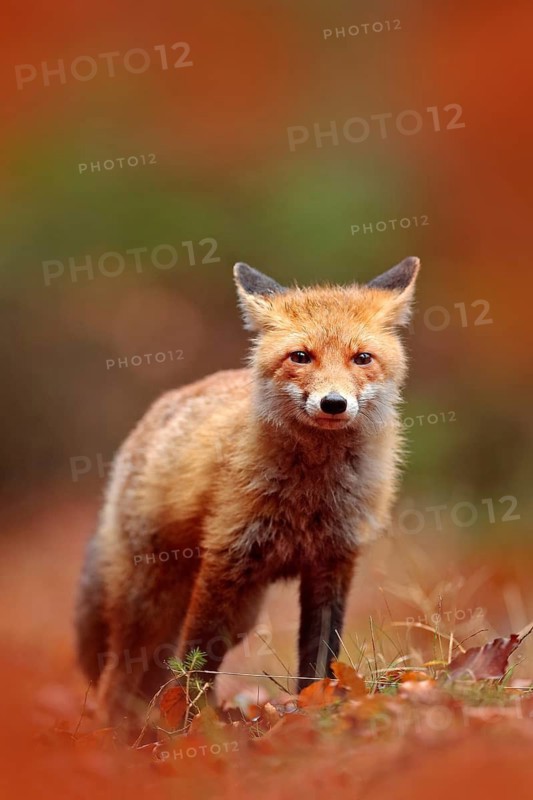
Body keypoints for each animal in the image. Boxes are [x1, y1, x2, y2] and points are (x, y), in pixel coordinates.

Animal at [75, 256, 420, 728]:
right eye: (301, 356)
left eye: (362, 358)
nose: (333, 403)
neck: (312, 493)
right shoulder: (226, 558)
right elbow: (195, 657)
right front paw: (188, 728)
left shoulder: (333, 561)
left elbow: (318, 659)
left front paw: (315, 711)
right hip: (154, 601)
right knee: (121, 678)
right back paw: (121, 733)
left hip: (242, 613)